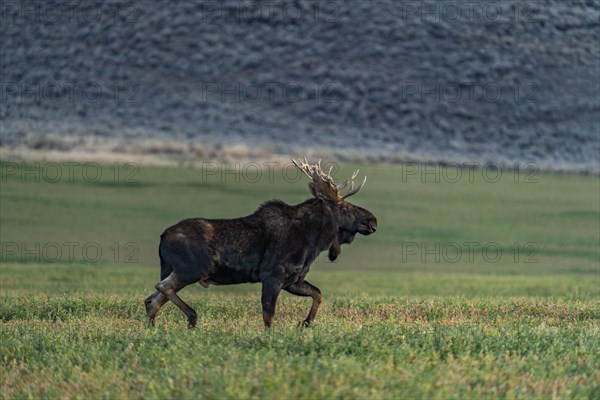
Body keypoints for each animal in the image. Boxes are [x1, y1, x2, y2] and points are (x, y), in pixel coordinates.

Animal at [144, 159, 376, 328]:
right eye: (343, 207)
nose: (372, 220)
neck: (313, 241)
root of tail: (162, 237)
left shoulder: (292, 280)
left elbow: (317, 294)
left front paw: (306, 323)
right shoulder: (272, 276)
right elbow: (268, 316)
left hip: (175, 270)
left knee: (152, 300)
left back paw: (153, 329)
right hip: (190, 270)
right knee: (161, 288)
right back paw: (192, 318)